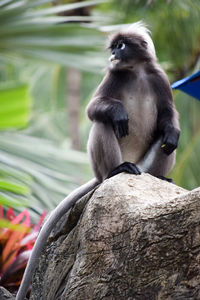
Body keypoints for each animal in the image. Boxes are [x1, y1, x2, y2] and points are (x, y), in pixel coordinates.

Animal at [16, 21, 180, 300]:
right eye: (114, 47)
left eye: (121, 46)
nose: (113, 54)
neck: (136, 72)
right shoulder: (114, 76)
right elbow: (93, 109)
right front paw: (118, 112)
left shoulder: (159, 78)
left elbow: (168, 115)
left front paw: (171, 132)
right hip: (104, 166)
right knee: (104, 124)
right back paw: (117, 168)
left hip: (145, 164)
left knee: (167, 141)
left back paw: (159, 175)